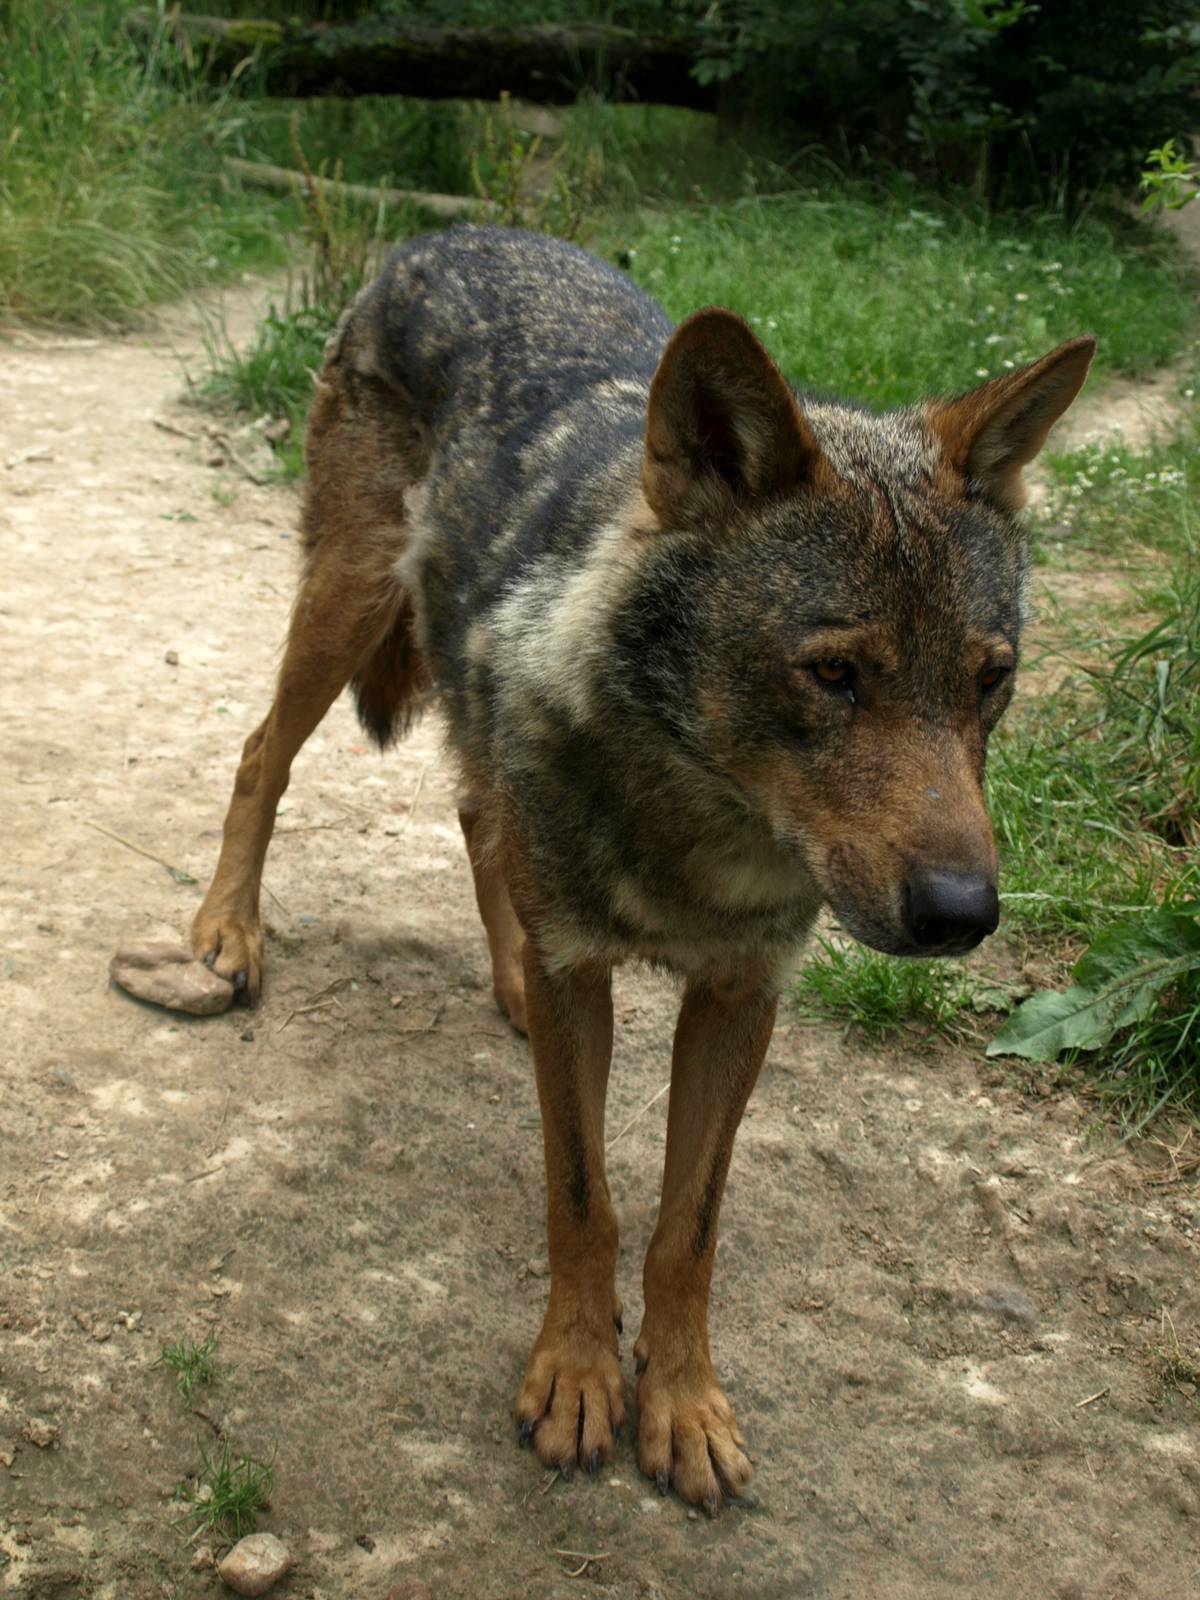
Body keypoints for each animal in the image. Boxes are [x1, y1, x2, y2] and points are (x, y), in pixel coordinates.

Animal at [190, 225, 1094, 1510]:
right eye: (834, 674)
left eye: (990, 679)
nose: (965, 913)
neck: (701, 827)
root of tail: (443, 234)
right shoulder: (589, 975)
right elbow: (587, 1200)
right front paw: (576, 1380)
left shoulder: (740, 998)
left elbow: (686, 1228)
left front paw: (683, 1403)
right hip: (348, 600)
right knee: (264, 751)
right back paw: (226, 934)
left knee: (477, 811)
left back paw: (503, 981)